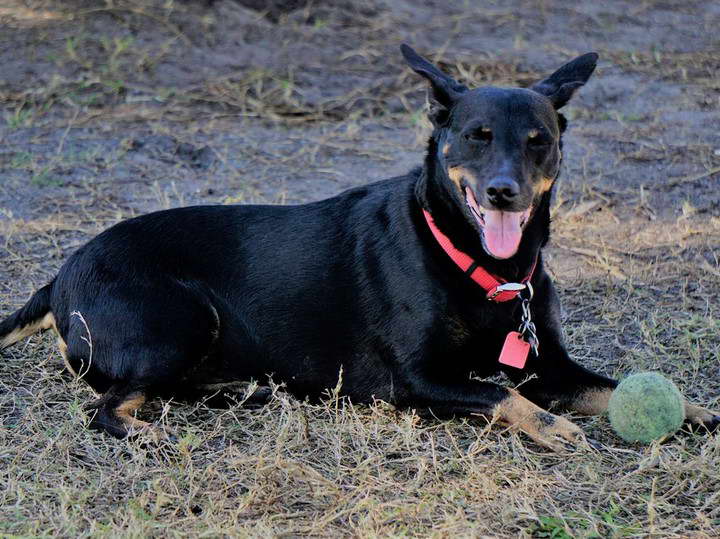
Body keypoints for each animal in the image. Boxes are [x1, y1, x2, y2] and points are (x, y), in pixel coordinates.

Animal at [2, 45, 716, 452]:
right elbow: (499, 396)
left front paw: (697, 413)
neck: (485, 266)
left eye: (538, 140)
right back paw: (151, 432)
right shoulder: (415, 379)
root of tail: (61, 274)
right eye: (477, 135)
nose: (504, 191)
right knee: (106, 407)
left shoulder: (551, 367)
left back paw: (243, 392)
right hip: (180, 320)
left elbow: (612, 387)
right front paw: (553, 427)